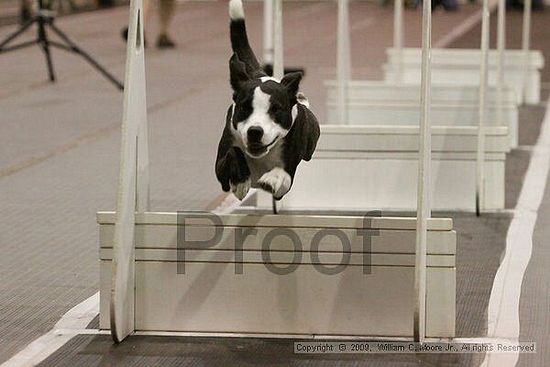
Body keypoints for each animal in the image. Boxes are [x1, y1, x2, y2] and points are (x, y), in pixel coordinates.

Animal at [215, 0, 322, 201]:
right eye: (244, 108)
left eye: (276, 110)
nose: (255, 131)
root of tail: (260, 73)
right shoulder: (221, 166)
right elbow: (234, 152)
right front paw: (241, 182)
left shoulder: (287, 177)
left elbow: (282, 175)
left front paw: (272, 179)